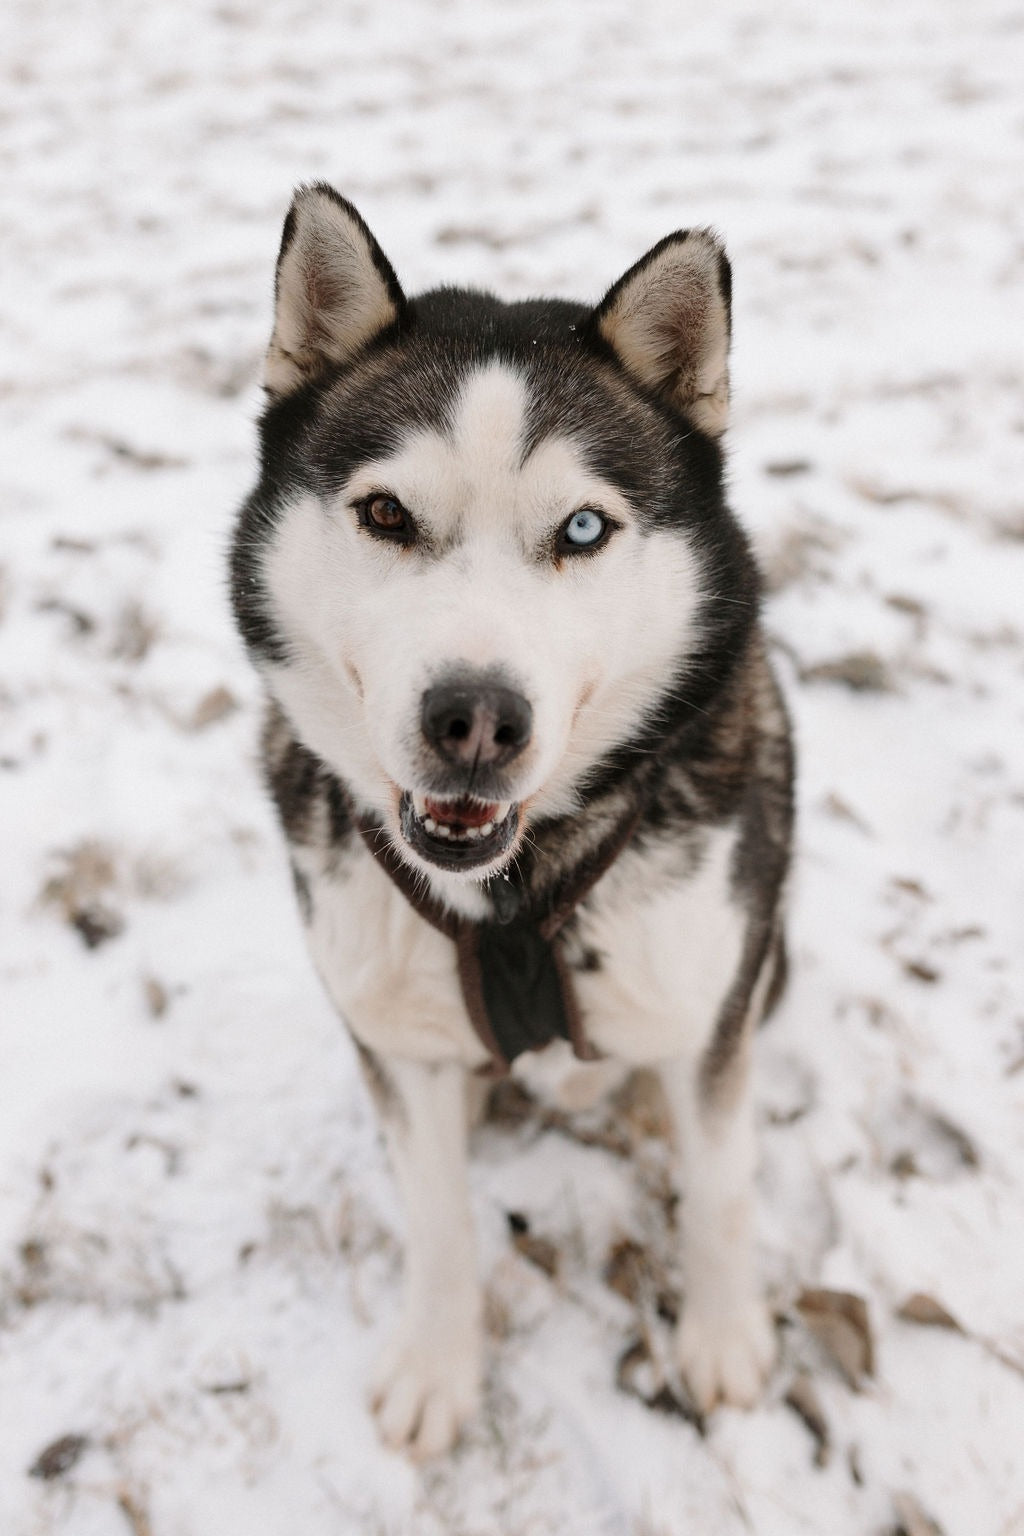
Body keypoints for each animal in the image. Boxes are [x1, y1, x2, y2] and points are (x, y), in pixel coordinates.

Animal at [230, 185, 792, 1456]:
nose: (475, 721)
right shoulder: (399, 1049)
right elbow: (439, 1222)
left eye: (582, 530)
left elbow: (725, 1191)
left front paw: (721, 1341)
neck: (510, 892)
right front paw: (438, 1370)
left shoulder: (709, 1010)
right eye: (385, 513)